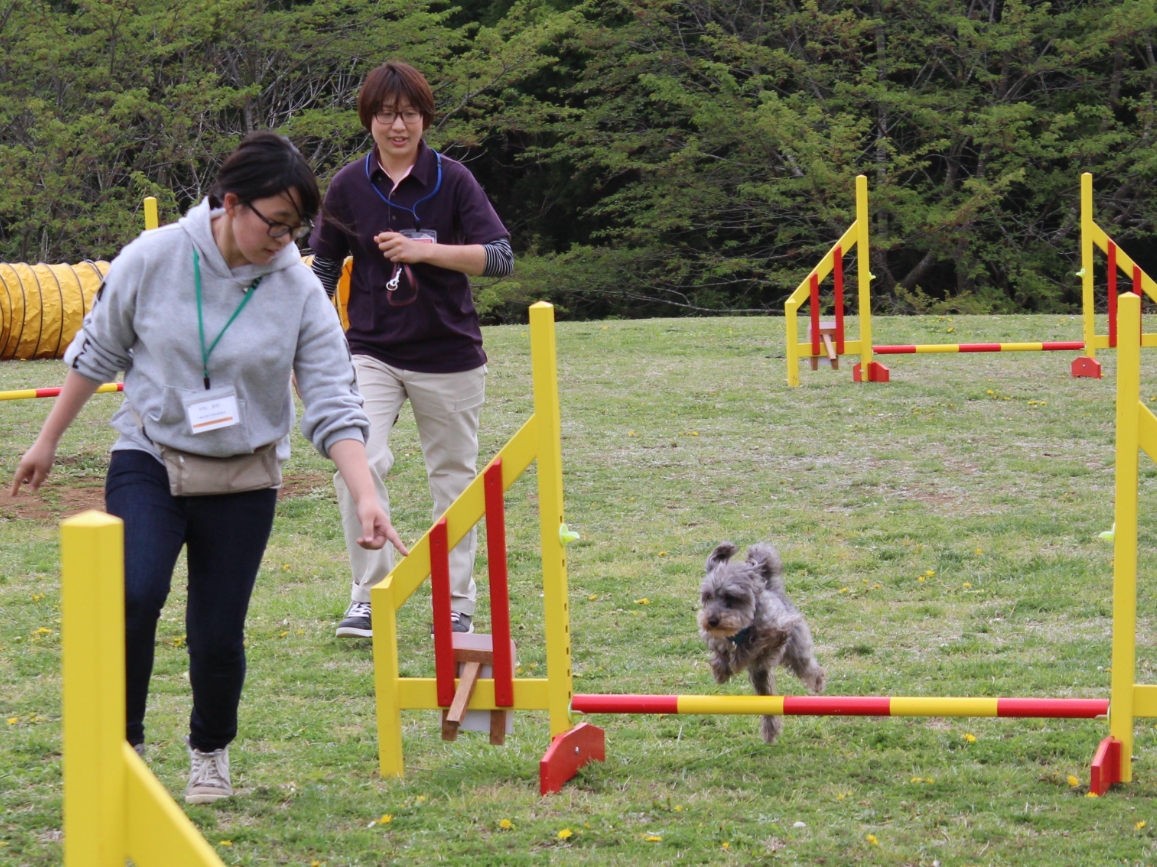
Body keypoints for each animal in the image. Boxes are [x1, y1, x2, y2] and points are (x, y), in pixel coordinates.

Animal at [694, 537, 823, 740]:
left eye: (730, 597)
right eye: (707, 596)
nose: (711, 621)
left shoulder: (778, 630)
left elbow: (757, 643)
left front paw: (738, 659)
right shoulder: (714, 637)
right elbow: (720, 650)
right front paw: (721, 671)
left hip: (797, 654)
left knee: (810, 669)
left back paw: (818, 684)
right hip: (760, 677)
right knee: (767, 700)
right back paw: (770, 731)